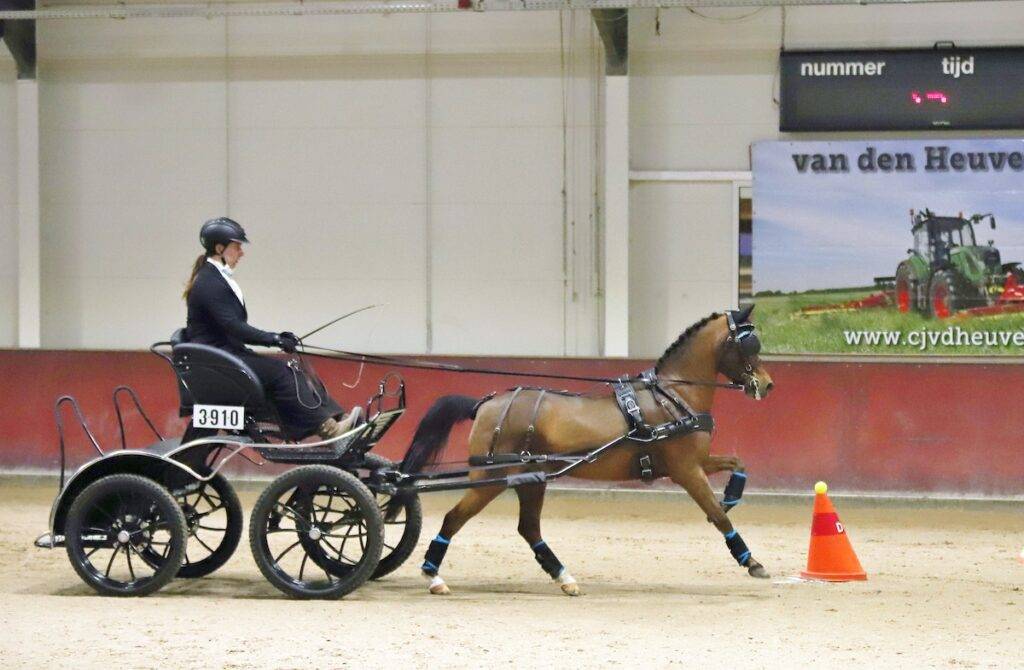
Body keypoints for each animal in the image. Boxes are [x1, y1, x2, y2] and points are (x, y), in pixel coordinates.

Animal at [398, 305, 774, 596]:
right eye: (749, 344)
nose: (768, 385)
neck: (672, 397)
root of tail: (485, 404)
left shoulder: (696, 461)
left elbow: (737, 464)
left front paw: (732, 495)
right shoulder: (686, 470)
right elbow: (717, 515)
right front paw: (751, 561)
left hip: (530, 480)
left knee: (529, 529)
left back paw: (565, 578)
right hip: (490, 479)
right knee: (454, 518)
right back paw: (433, 576)